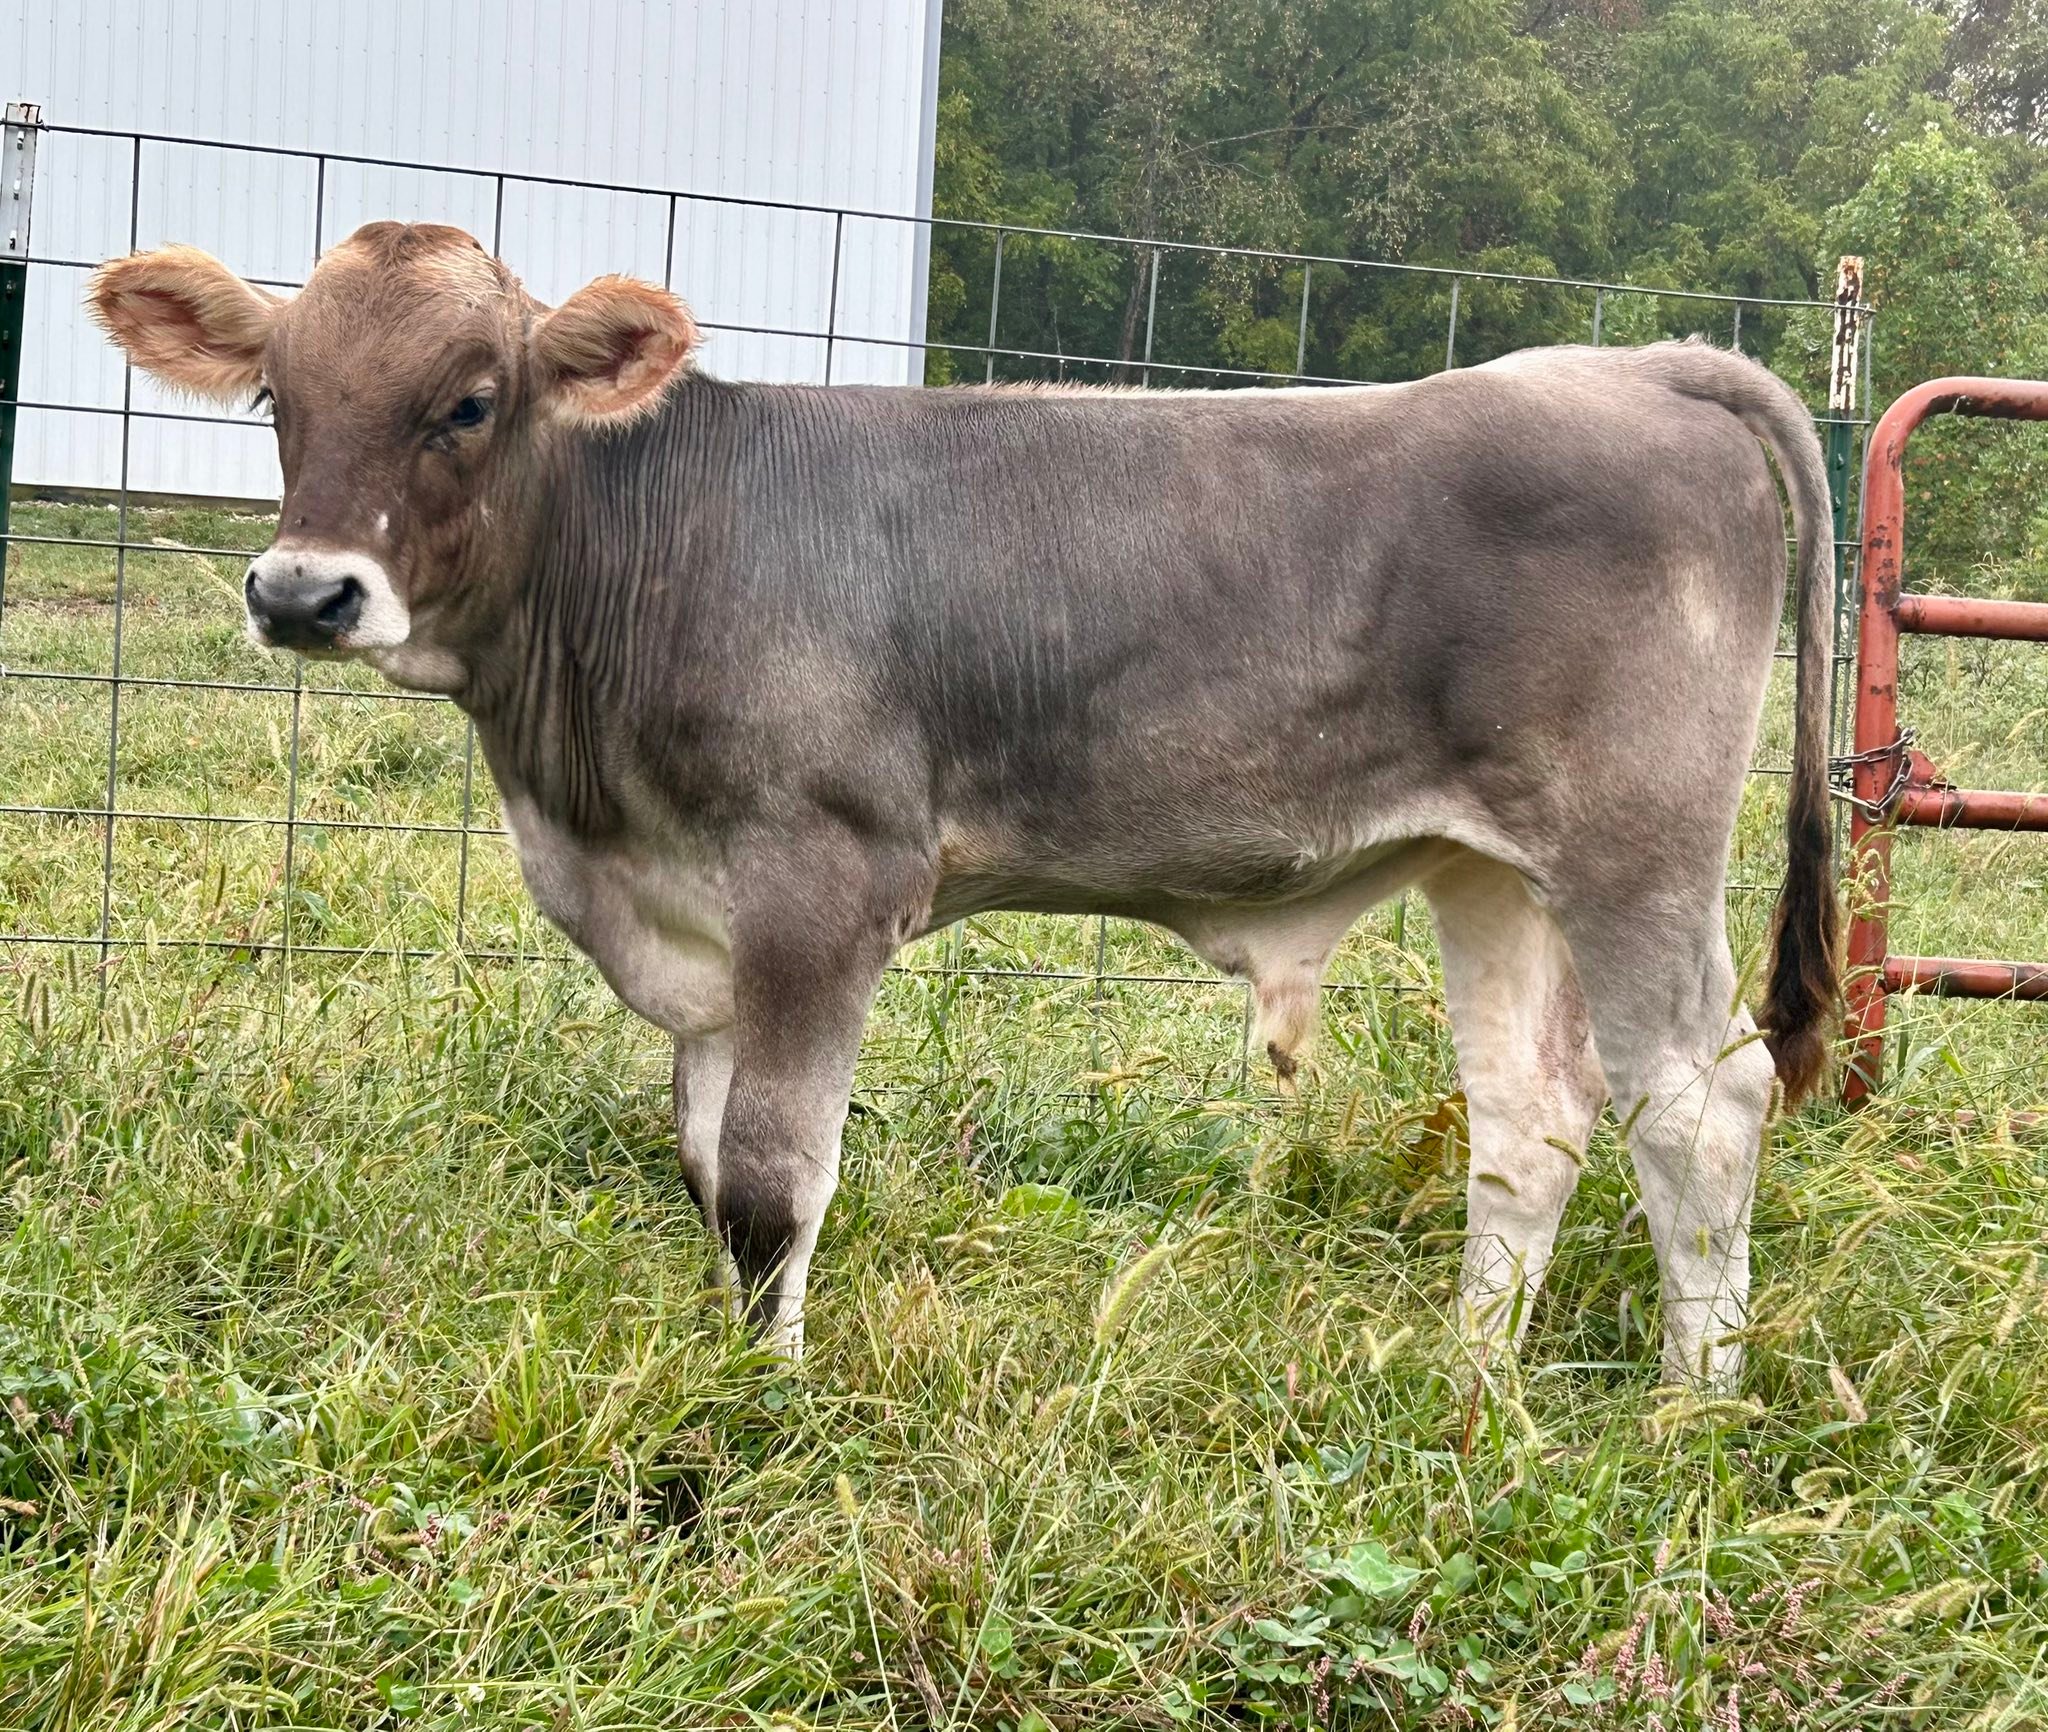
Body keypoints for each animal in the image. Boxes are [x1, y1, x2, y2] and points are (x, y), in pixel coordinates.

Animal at [88, 223, 1839, 1389]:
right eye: (276, 397)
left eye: (468, 399)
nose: (304, 594)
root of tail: (1633, 365)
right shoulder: (704, 926)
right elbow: (706, 1165)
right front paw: (738, 1369)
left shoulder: (824, 877)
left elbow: (774, 1174)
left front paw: (771, 1408)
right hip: (1489, 869)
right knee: (1532, 1118)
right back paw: (1468, 1382)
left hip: (1632, 846)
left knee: (1701, 1104)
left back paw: (1692, 1407)